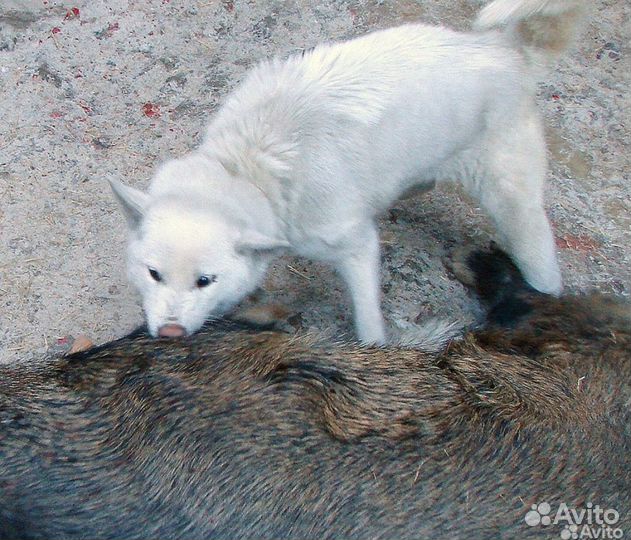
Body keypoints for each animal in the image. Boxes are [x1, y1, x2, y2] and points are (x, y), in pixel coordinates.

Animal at [110, 0, 584, 344]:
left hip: (515, 209)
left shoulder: (357, 247)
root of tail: (506, 52)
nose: (169, 334)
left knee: (544, 274)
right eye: (154, 274)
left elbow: (369, 324)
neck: (250, 167)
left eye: (204, 280)